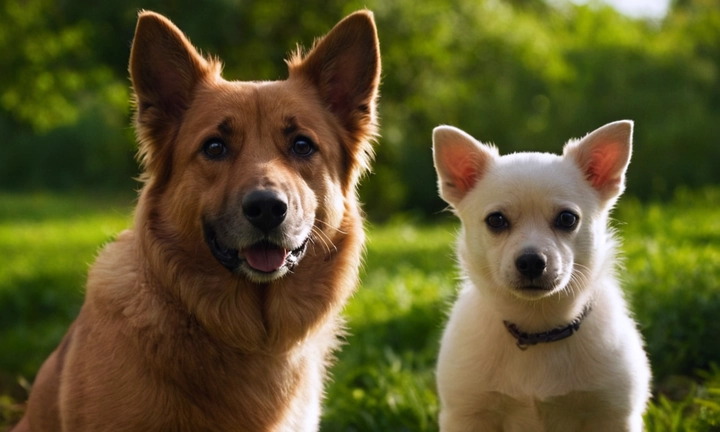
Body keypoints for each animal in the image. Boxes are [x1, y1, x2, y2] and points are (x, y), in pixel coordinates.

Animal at [434, 121, 652, 432]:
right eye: (496, 220)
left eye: (567, 219)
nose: (531, 261)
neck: (538, 327)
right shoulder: (467, 414)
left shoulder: (613, 414)